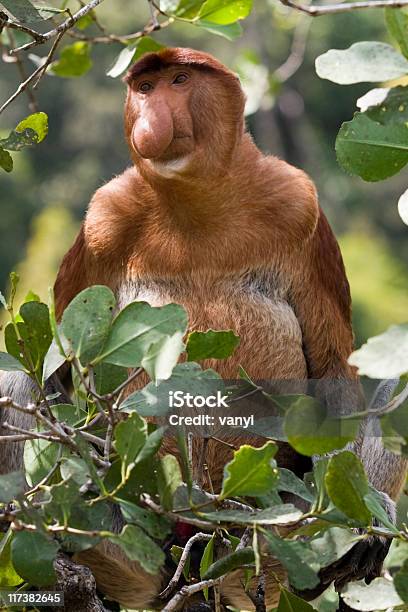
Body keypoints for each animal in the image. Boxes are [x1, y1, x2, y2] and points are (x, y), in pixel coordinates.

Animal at [1, 49, 406, 612]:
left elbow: (331, 370)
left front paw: (364, 527)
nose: (152, 119)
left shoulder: (300, 207)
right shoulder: (103, 220)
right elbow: (58, 371)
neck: (196, 202)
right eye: (145, 87)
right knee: (21, 380)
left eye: (179, 80)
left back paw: (338, 553)